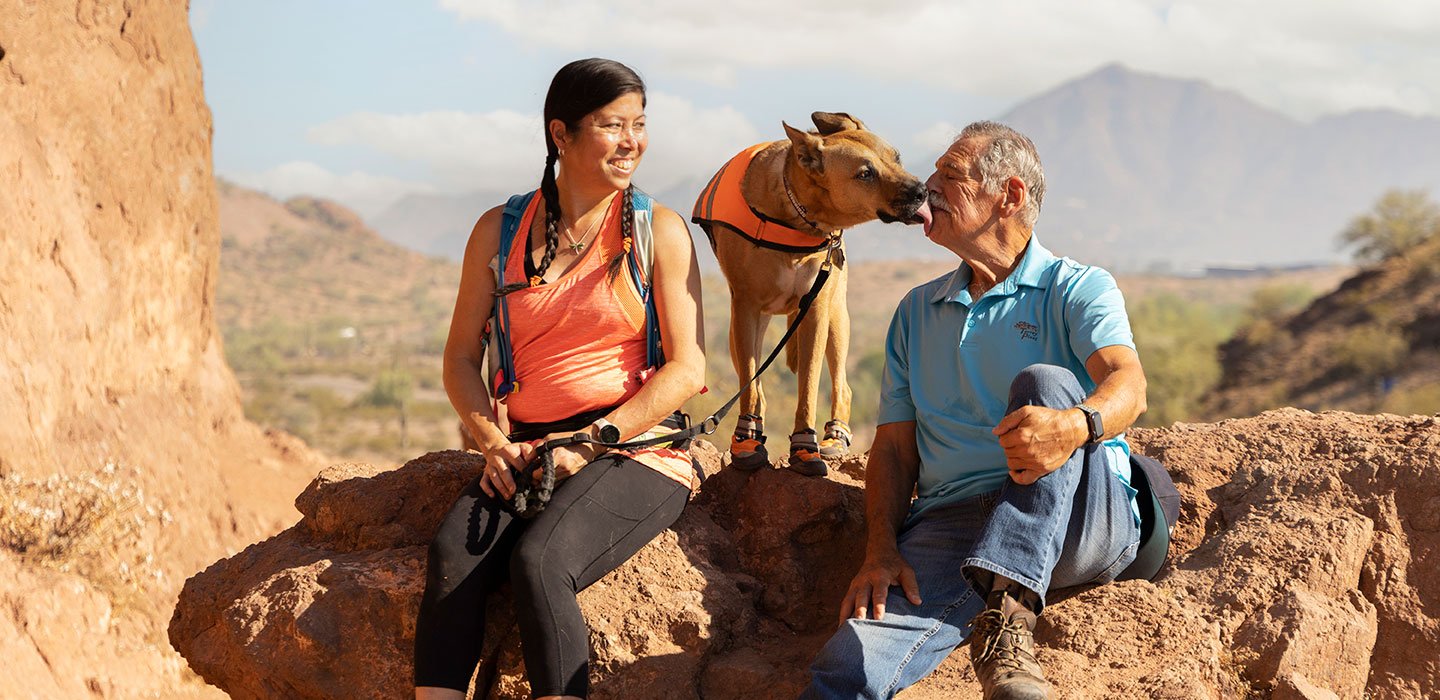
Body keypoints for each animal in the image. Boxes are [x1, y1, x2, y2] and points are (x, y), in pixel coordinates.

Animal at [691, 113, 927, 475]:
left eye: (897, 157)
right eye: (865, 173)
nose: (922, 191)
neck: (796, 215)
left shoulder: (815, 310)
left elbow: (808, 387)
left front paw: (805, 446)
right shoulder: (745, 308)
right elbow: (750, 386)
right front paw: (747, 440)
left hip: (837, 318)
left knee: (842, 386)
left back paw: (835, 438)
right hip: (741, 330)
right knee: (755, 384)